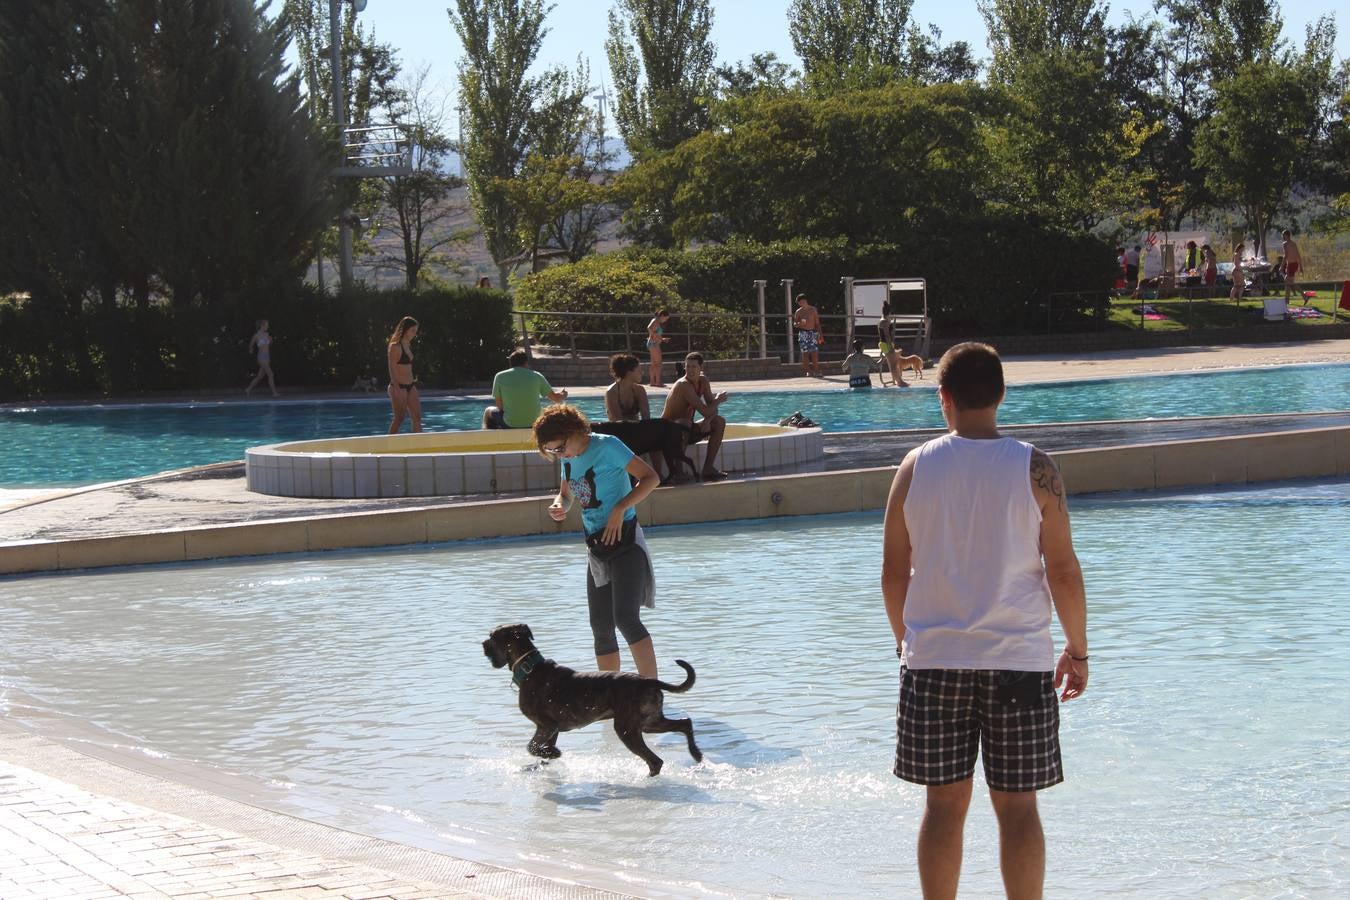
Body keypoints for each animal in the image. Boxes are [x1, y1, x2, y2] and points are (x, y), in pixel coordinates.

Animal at [480, 623, 702, 777]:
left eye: (492, 637)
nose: (482, 644)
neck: (530, 669)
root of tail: (647, 681)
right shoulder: (551, 730)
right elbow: (540, 750)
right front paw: (545, 760)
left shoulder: (546, 725)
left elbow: (532, 747)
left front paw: (553, 754)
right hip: (649, 723)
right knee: (685, 723)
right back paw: (696, 753)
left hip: (627, 729)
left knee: (655, 761)